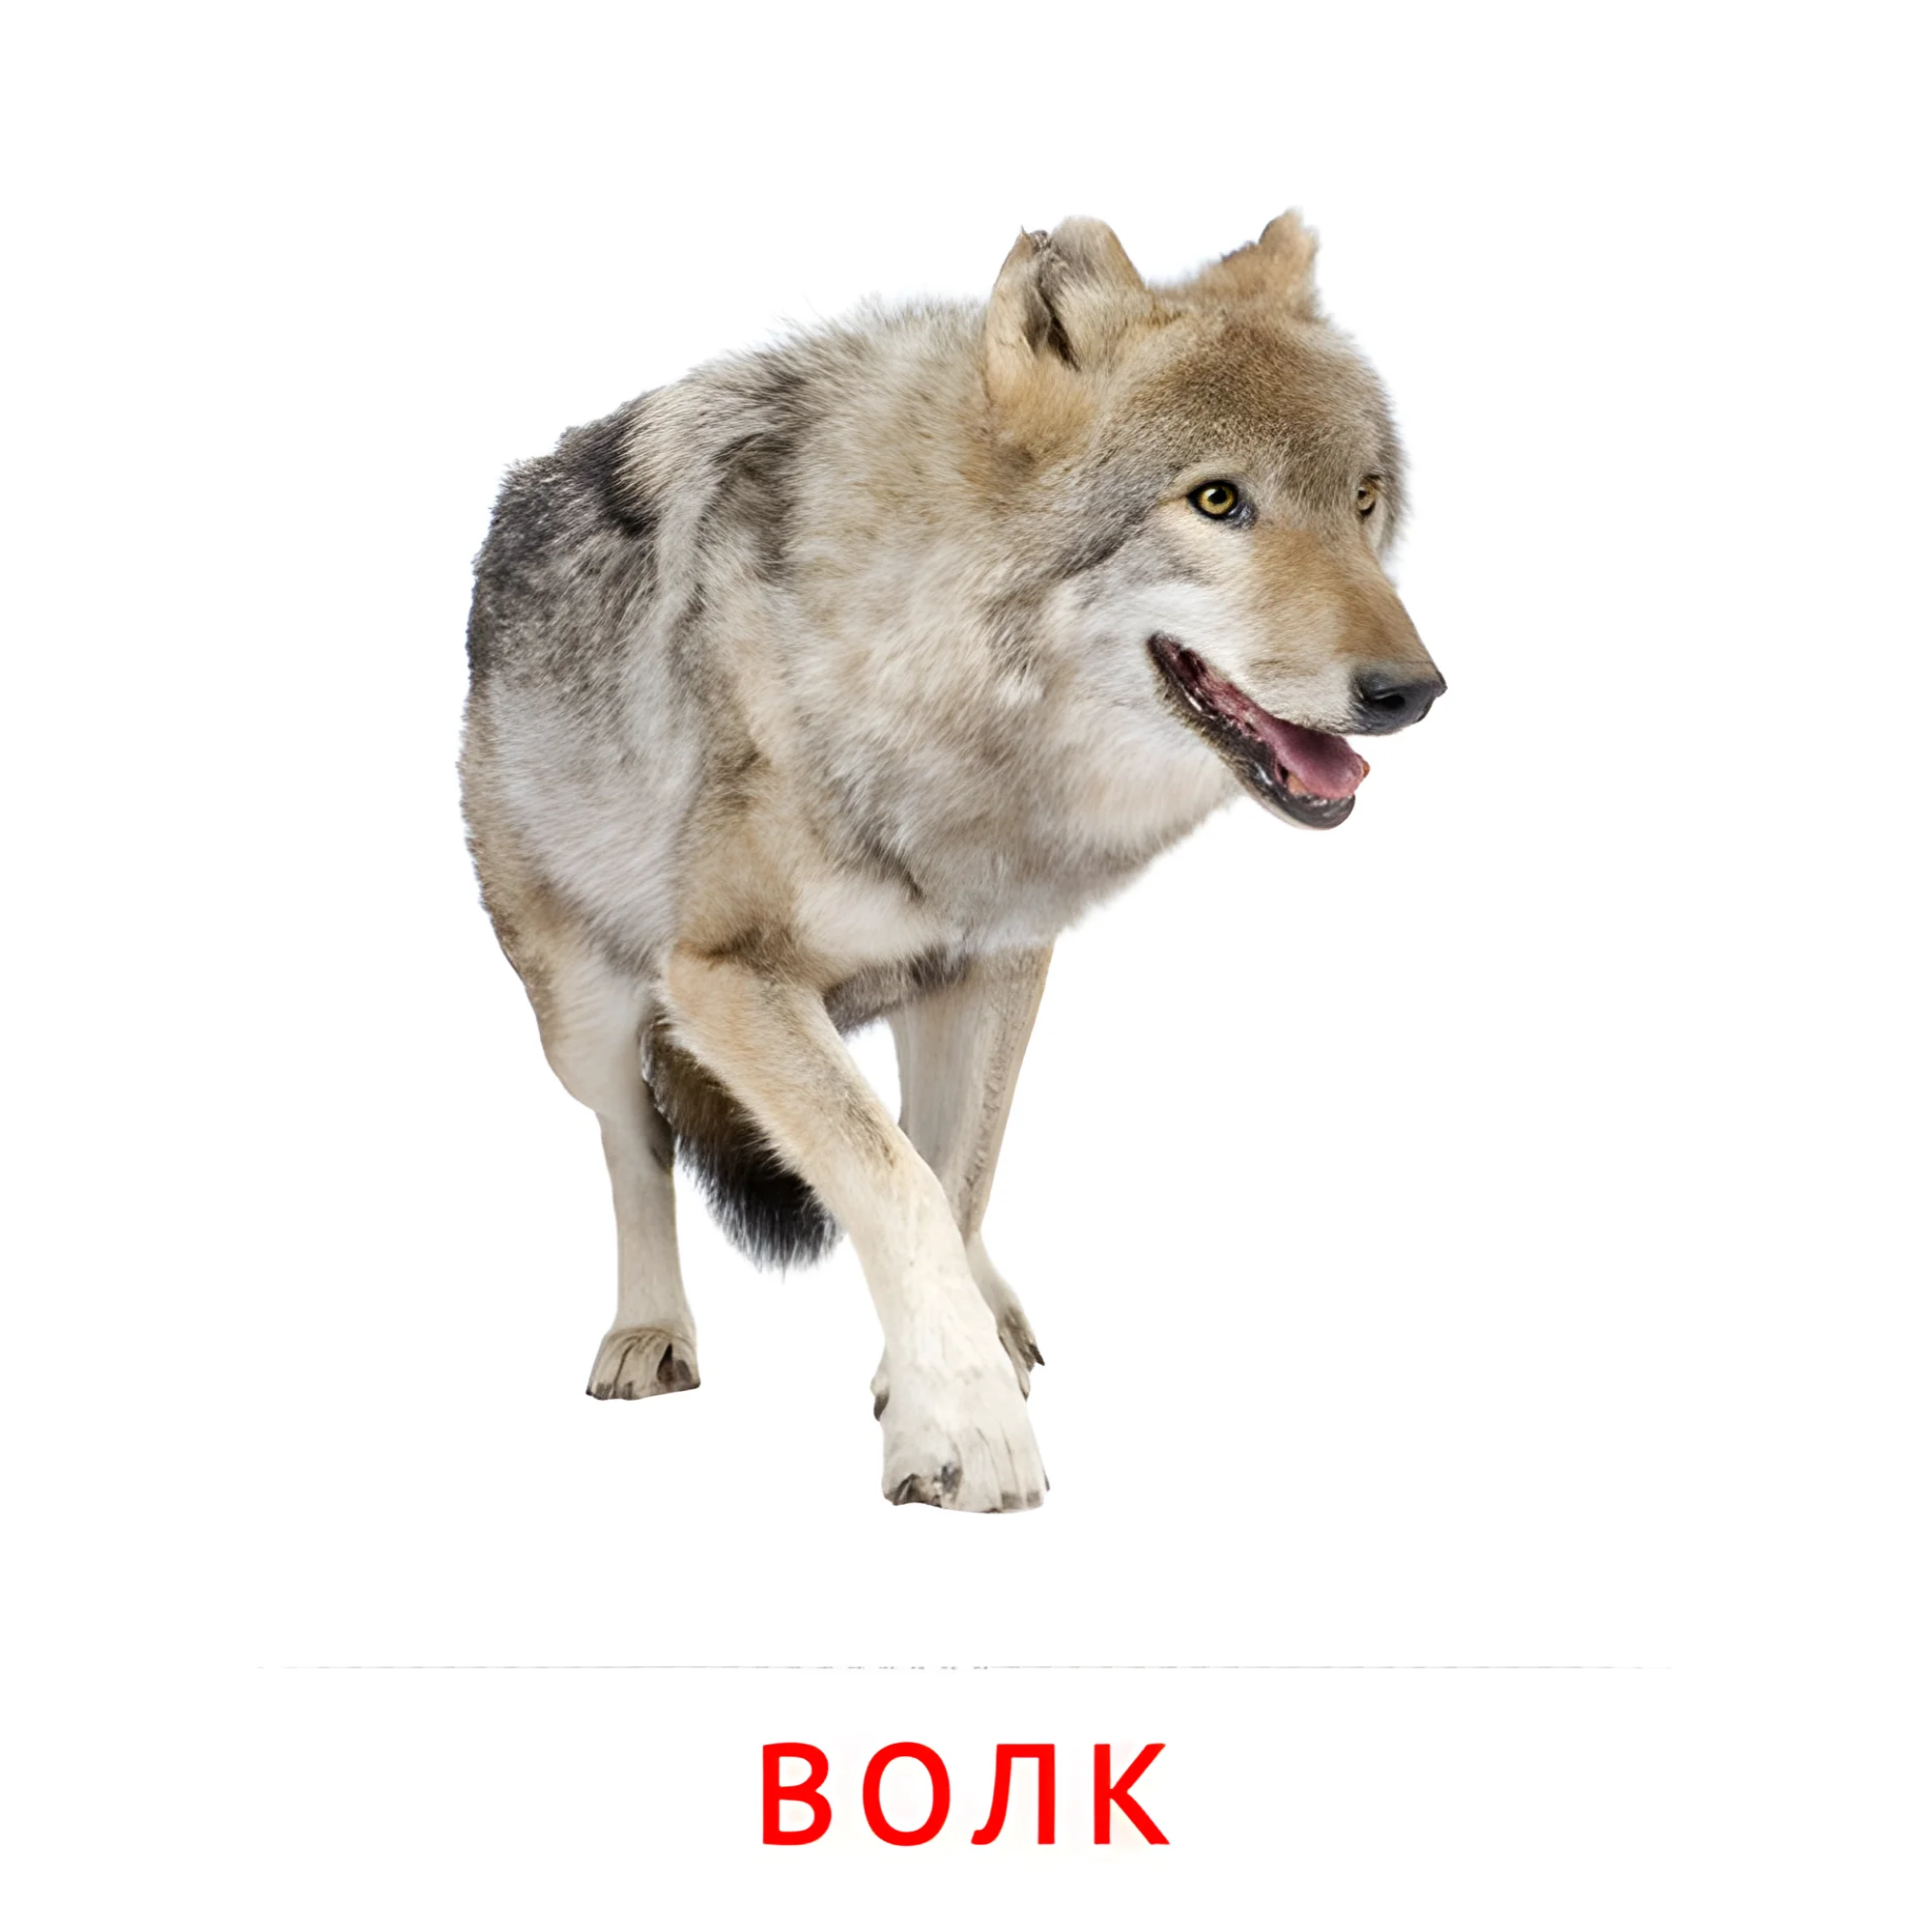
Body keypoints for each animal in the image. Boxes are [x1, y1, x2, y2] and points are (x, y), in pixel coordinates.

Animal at [461, 211, 1444, 1512]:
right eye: (1216, 499)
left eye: (1362, 500)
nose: (1411, 692)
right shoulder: (724, 972)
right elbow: (891, 1177)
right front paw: (967, 1431)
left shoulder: (998, 960)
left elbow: (953, 1170)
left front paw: (932, 1373)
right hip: (587, 1010)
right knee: (638, 1141)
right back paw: (648, 1330)